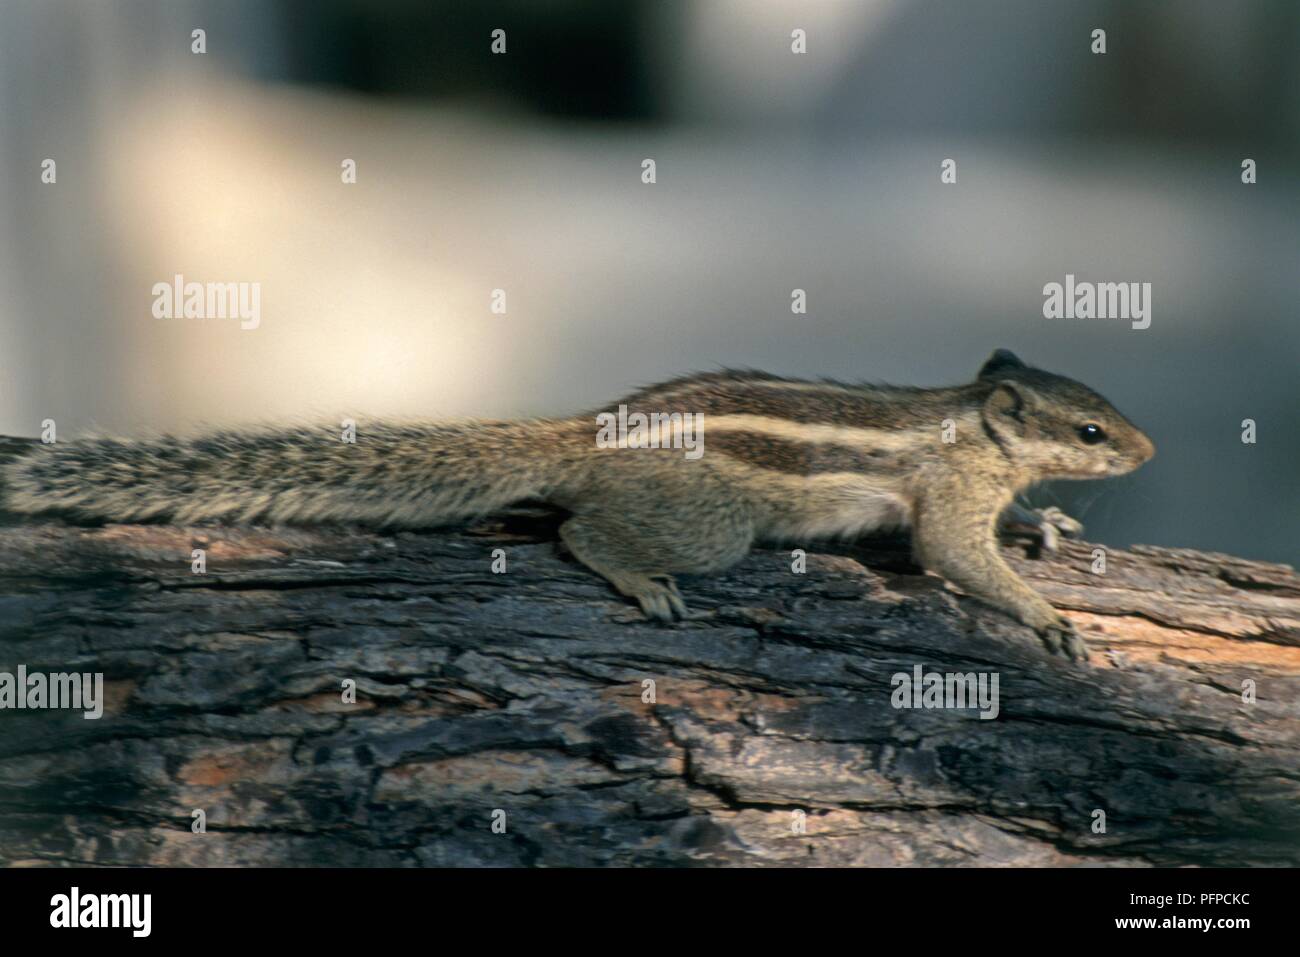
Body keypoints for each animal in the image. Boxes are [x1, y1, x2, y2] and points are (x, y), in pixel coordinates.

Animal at [1, 348, 1153, 661]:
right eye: (1091, 431)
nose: (1146, 447)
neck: (973, 427)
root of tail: (582, 432)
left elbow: (989, 535)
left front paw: (1047, 526)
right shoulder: (945, 498)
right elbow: (953, 555)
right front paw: (1045, 615)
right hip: (713, 521)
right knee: (581, 528)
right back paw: (639, 577)